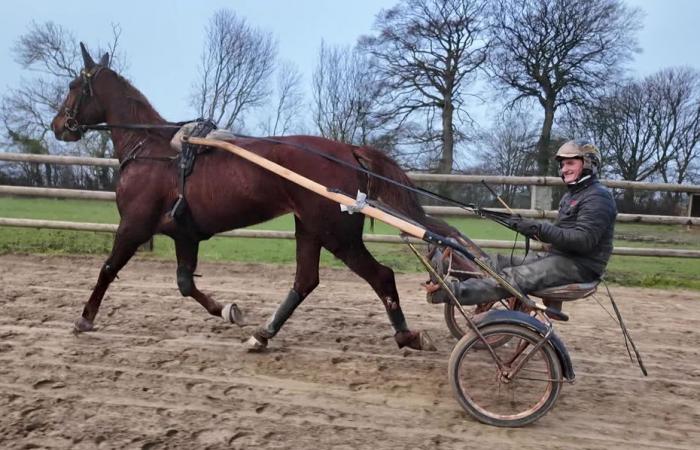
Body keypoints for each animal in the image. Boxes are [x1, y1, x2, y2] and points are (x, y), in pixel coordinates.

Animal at [50, 43, 460, 352]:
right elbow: (185, 284)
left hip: (336, 234)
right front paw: (228, 310)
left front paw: (84, 319)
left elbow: (108, 269)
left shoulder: (133, 226)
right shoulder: (184, 234)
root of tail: (347, 150)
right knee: (305, 281)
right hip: (309, 227)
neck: (152, 149)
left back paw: (407, 335)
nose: (57, 126)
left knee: (380, 276)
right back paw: (263, 333)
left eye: (72, 84)